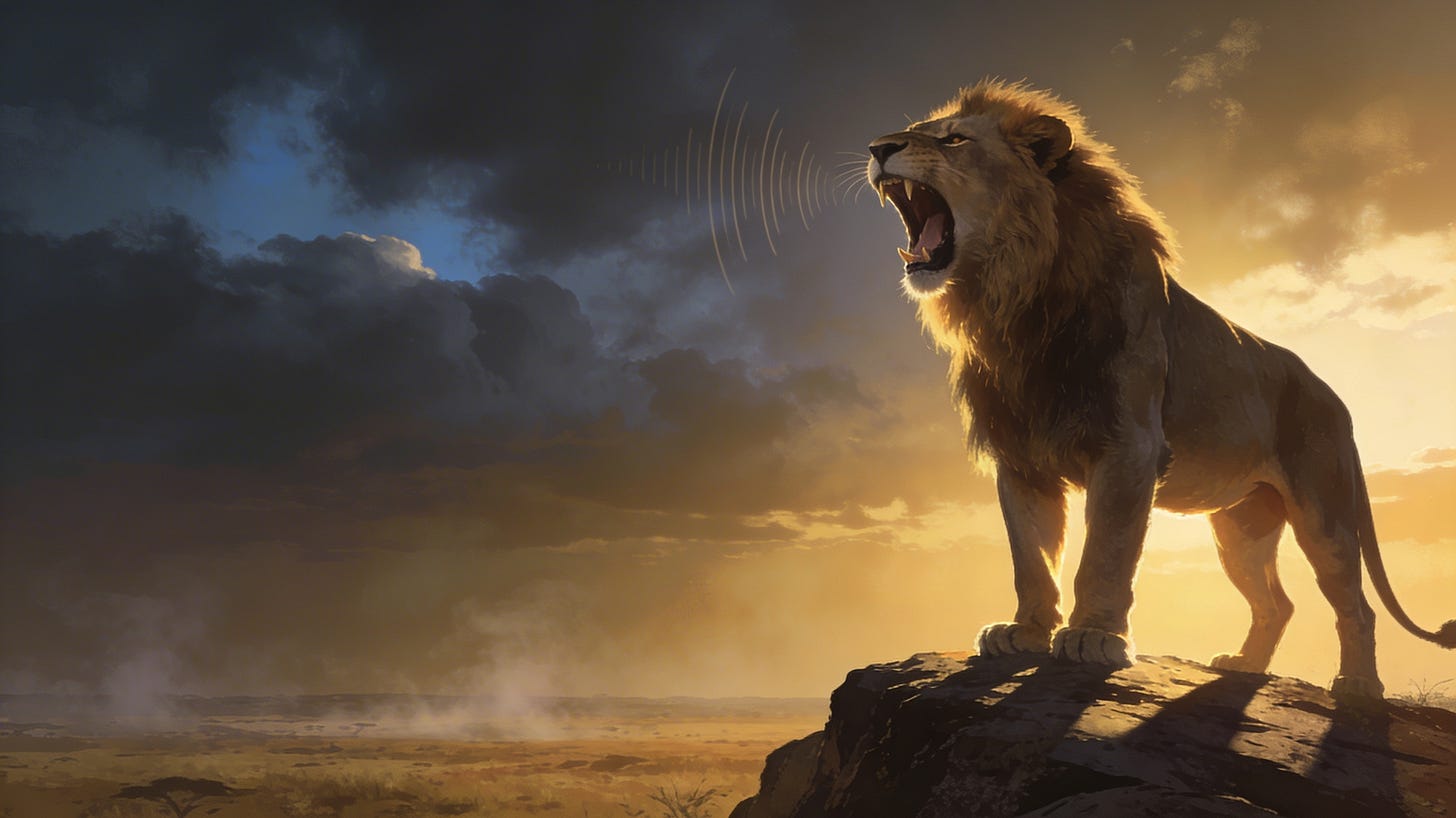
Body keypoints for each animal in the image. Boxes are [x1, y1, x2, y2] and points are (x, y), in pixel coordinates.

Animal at [865, 79, 1455, 700]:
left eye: (953, 140)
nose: (879, 147)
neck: (1016, 302)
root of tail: (1337, 398)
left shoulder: (1129, 446)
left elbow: (1105, 553)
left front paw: (1093, 638)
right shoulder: (1022, 460)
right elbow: (1031, 558)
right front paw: (1024, 632)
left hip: (1325, 515)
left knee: (1355, 606)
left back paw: (1360, 687)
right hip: (1239, 530)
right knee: (1277, 603)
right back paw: (1244, 665)